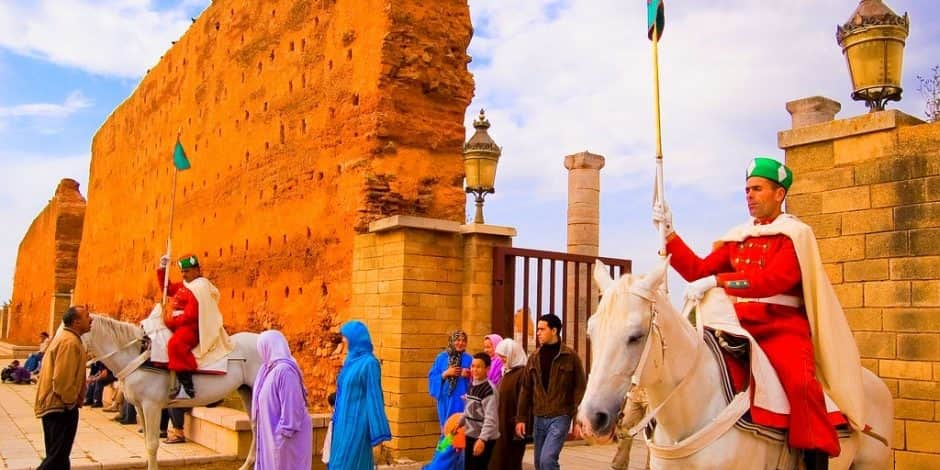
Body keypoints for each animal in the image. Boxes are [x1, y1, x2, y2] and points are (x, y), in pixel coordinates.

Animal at [85, 312, 260, 470]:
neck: (138, 357)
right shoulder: (140, 406)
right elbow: (146, 441)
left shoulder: (151, 406)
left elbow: (152, 444)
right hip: (247, 391)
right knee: (255, 426)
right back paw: (247, 465)